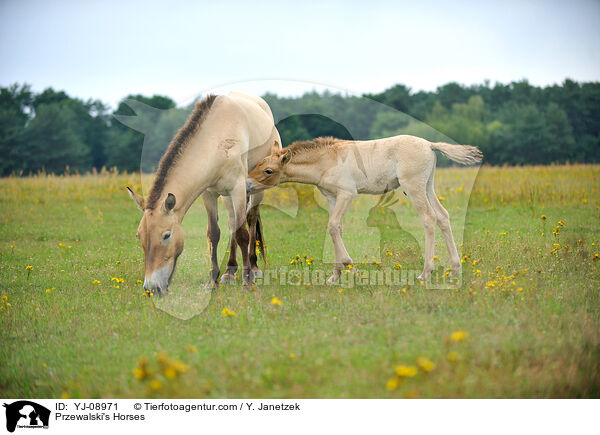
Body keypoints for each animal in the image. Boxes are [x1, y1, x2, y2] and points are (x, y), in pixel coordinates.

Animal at [126, 93, 282, 294]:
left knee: (251, 220)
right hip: (226, 197)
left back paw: (254, 269)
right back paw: (230, 272)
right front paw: (213, 281)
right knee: (232, 223)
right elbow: (214, 234)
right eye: (140, 236)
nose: (151, 288)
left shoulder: (238, 189)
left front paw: (248, 282)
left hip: (256, 191)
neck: (218, 140)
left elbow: (242, 234)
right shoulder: (209, 194)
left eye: (166, 235)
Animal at [245, 137, 482, 286]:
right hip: (428, 186)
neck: (326, 161)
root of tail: (430, 145)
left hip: (414, 187)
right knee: (443, 217)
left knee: (429, 218)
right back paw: (454, 269)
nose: (246, 185)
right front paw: (335, 276)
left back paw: (425, 273)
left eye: (268, 171)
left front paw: (352, 268)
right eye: (258, 163)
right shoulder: (332, 197)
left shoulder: (347, 194)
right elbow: (337, 229)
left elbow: (333, 226)